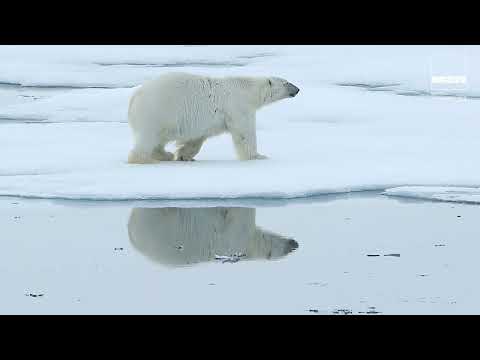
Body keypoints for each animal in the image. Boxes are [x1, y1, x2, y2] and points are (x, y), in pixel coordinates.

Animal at [127, 72, 300, 162]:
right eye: (286, 82)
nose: (297, 89)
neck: (247, 89)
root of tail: (135, 96)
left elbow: (197, 139)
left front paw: (184, 155)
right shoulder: (238, 106)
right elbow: (244, 133)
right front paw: (258, 156)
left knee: (159, 139)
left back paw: (165, 155)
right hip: (158, 111)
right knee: (148, 138)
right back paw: (143, 158)